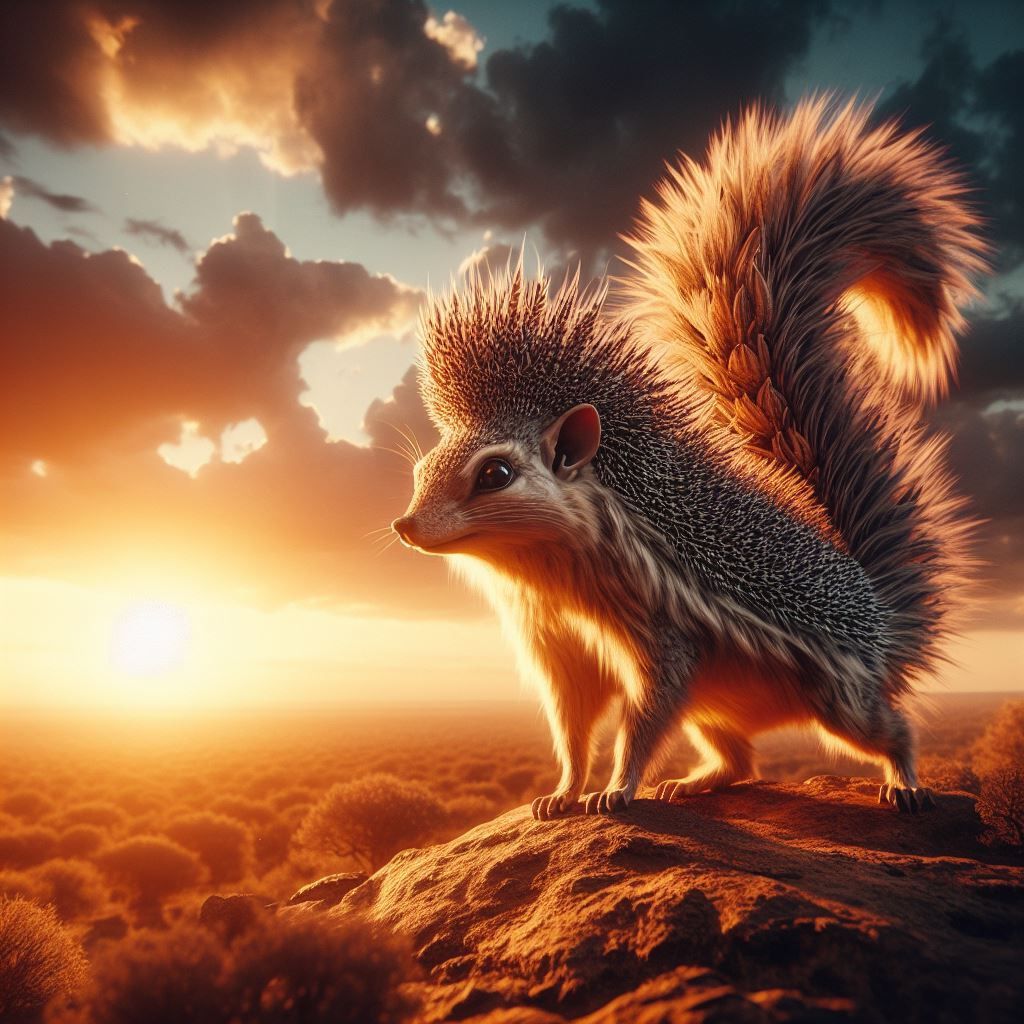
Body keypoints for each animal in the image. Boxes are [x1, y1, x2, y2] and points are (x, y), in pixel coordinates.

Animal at [392, 97, 987, 818]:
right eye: (419, 470)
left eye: (495, 474)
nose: (405, 525)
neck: (552, 573)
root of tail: (877, 617)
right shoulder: (557, 646)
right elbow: (572, 726)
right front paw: (562, 793)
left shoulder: (664, 635)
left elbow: (643, 719)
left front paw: (615, 790)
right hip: (720, 711)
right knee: (741, 761)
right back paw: (694, 781)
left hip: (839, 701)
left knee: (892, 727)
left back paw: (905, 784)